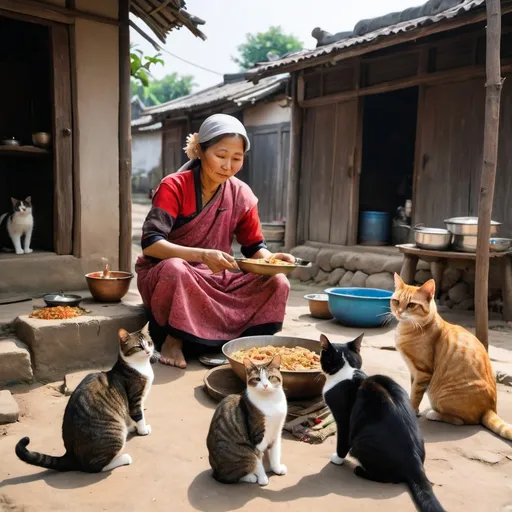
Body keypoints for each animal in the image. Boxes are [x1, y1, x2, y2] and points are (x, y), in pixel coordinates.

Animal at [16, 324, 156, 472]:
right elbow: (139, 415)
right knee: (96, 466)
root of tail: (71, 456)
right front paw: (143, 430)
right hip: (114, 434)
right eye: (139, 346)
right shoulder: (135, 398)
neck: (138, 366)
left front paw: (135, 426)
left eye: (149, 343)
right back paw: (123, 458)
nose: (148, 351)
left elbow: (133, 416)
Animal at [207, 354, 288, 486]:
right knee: (232, 476)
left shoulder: (277, 432)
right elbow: (258, 460)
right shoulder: (256, 438)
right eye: (257, 379)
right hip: (243, 452)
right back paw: (251, 477)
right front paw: (262, 479)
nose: (265, 385)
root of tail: (215, 472)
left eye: (270, 377)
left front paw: (277, 468)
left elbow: (275, 453)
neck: (270, 400)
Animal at [320, 334, 444, 512]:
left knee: (391, 478)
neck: (347, 370)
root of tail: (415, 464)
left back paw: (360, 470)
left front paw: (337, 459)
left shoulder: (343, 419)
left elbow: (342, 441)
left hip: (360, 444)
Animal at [390, 274, 510, 442]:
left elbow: (415, 394)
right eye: (396, 301)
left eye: (411, 305)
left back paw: (434, 414)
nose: (399, 312)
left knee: (461, 420)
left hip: (442, 394)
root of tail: (490, 408)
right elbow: (413, 390)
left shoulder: (422, 371)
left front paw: (412, 411)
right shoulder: (414, 372)